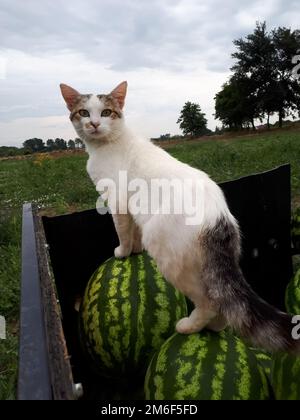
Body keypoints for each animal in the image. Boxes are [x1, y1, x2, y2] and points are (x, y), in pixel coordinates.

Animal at [61, 80, 300, 352]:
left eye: (106, 112)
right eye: (83, 112)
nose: (93, 124)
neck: (107, 145)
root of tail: (219, 219)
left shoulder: (117, 201)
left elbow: (123, 232)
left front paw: (123, 252)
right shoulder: (132, 208)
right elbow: (134, 231)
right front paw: (135, 250)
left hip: (169, 258)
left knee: (210, 302)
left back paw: (189, 326)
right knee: (222, 304)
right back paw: (214, 328)